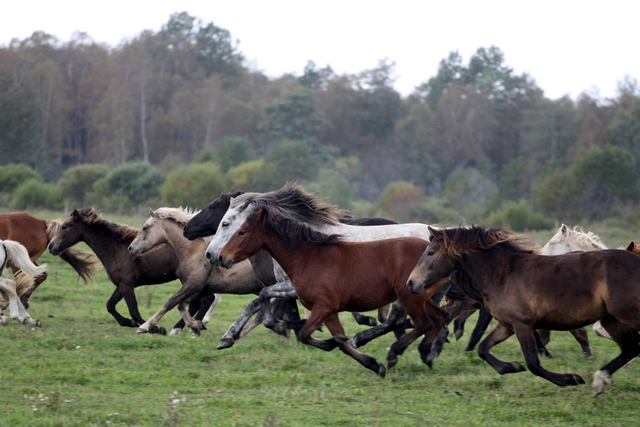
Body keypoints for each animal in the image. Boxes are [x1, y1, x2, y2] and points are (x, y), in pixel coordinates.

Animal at [218, 207, 448, 378]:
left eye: (242, 232)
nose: (220, 257)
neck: (308, 257)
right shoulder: (328, 312)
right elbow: (341, 343)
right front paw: (373, 364)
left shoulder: (324, 307)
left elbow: (305, 334)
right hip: (422, 297)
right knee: (439, 318)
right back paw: (426, 354)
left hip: (409, 297)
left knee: (421, 323)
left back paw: (395, 352)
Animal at [408, 227, 640, 398]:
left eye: (430, 252)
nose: (411, 283)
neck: (503, 274)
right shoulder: (507, 325)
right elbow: (483, 349)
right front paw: (511, 366)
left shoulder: (523, 325)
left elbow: (533, 363)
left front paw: (570, 379)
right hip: (611, 319)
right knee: (630, 348)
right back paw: (600, 381)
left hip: (627, 314)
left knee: (631, 346)